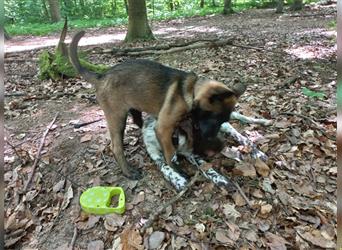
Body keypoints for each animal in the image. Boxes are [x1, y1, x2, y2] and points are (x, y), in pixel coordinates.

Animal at [69, 30, 246, 180]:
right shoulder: (163, 128)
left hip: (134, 110)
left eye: (223, 121)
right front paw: (176, 169)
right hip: (117, 118)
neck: (190, 91)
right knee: (116, 147)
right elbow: (170, 153)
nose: (219, 144)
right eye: (214, 119)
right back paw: (128, 172)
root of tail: (101, 76)